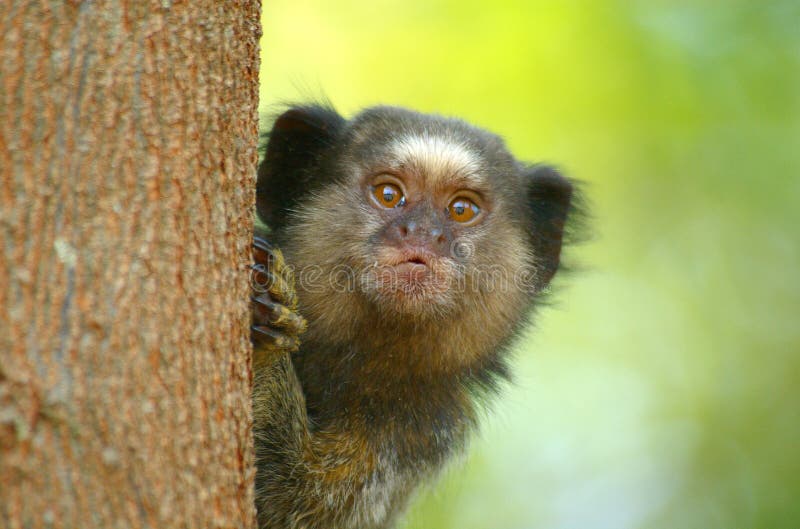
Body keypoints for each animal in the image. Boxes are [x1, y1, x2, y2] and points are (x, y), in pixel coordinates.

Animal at [253, 104, 580, 528]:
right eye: (389, 195)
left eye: (461, 210)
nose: (423, 233)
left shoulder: (413, 431)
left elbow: (296, 504)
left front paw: (268, 320)